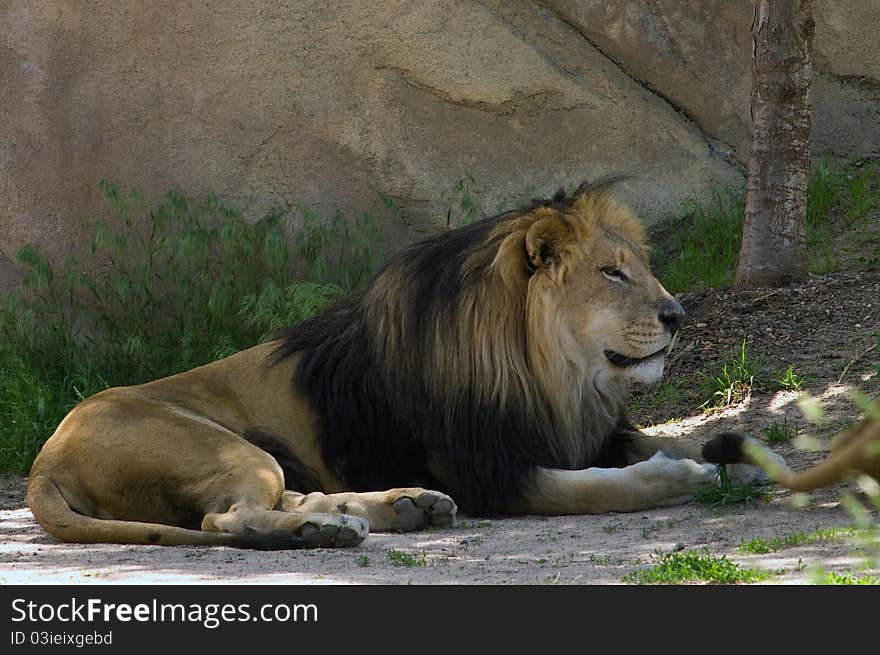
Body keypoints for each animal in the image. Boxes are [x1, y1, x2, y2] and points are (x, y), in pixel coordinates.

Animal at [24, 179, 744, 548]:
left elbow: (672, 440)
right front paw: (678, 476)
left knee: (286, 495)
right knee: (224, 518)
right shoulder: (489, 470)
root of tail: (45, 459)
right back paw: (325, 531)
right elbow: (599, 486)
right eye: (612, 273)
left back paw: (397, 507)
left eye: (642, 267)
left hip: (263, 453)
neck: (556, 374)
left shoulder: (588, 429)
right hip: (227, 446)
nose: (679, 314)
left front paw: (738, 452)